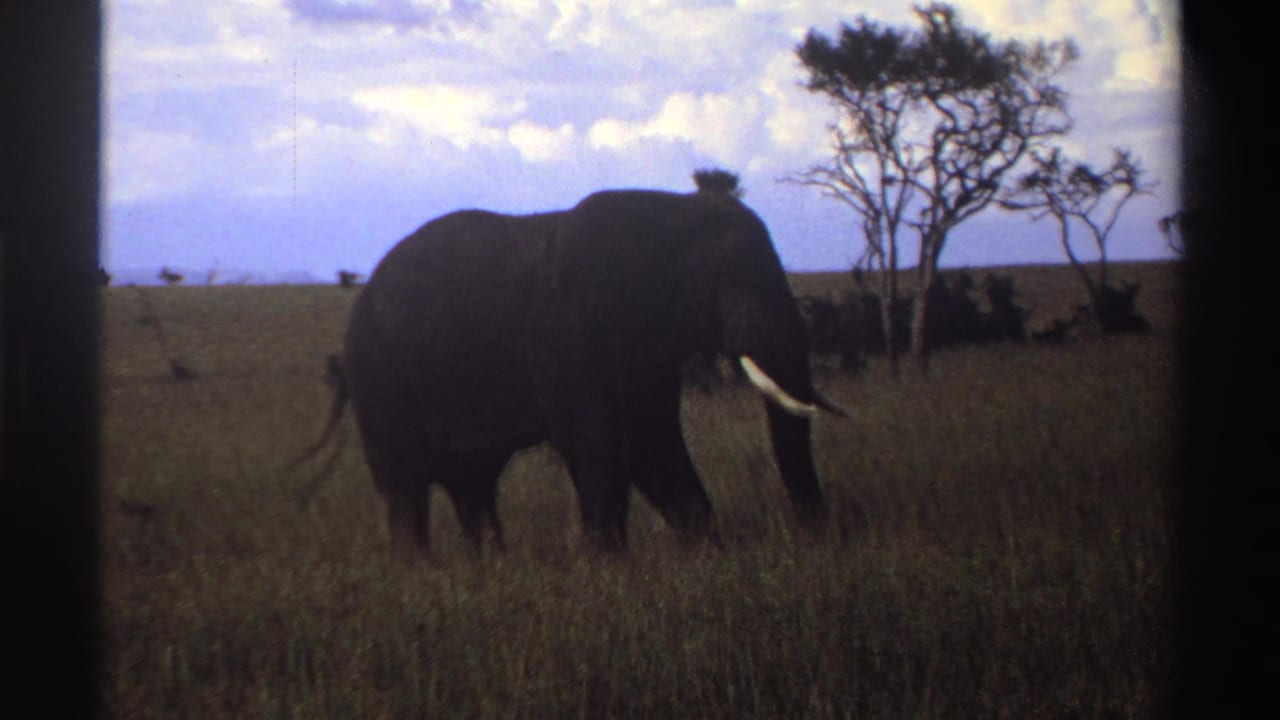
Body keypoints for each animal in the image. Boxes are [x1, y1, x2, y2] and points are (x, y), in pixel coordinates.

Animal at [302, 189, 846, 559]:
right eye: (725, 283)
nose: (817, 532)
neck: (668, 213)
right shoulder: (567, 332)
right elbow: (598, 440)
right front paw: (607, 566)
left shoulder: (645, 350)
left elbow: (650, 441)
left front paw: (705, 548)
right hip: (380, 376)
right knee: (406, 483)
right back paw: (424, 572)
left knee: (472, 482)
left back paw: (491, 565)